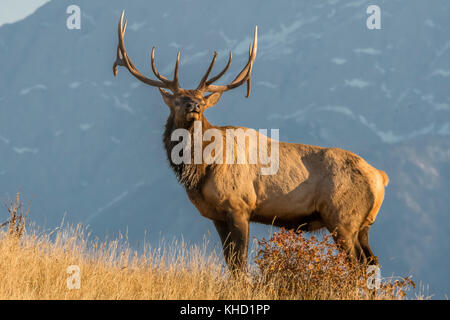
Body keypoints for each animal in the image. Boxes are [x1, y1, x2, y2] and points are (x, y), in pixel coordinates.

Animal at [111, 13, 386, 272]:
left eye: (202, 100)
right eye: (178, 100)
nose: (194, 106)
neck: (202, 168)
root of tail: (380, 178)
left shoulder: (239, 206)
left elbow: (240, 263)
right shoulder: (217, 216)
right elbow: (230, 263)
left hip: (343, 219)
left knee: (358, 264)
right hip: (363, 226)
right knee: (372, 262)